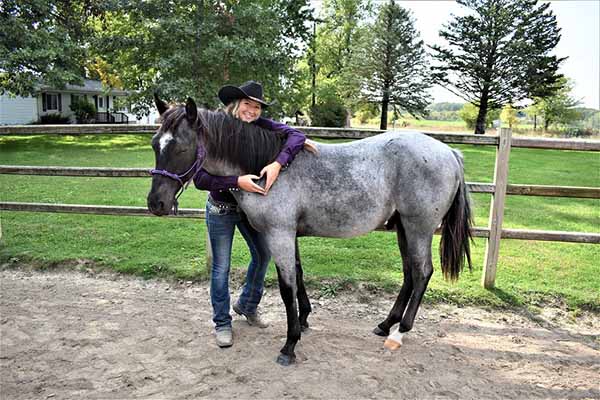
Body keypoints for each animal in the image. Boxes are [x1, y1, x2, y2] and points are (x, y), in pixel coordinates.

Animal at [146, 96, 474, 366]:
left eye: (181, 147)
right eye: (154, 144)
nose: (156, 203)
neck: (267, 168)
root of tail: (450, 152)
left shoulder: (279, 234)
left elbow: (286, 286)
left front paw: (289, 345)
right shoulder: (288, 236)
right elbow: (299, 277)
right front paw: (303, 320)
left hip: (418, 228)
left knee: (422, 272)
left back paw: (399, 333)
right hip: (403, 228)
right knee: (409, 275)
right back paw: (385, 325)